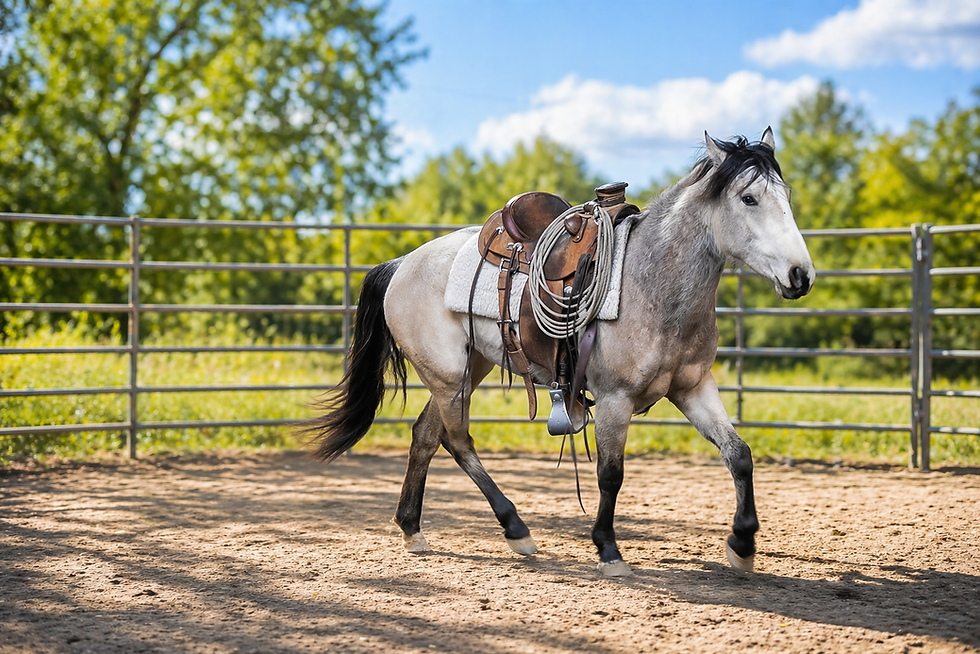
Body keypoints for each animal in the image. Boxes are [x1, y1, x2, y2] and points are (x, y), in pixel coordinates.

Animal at [304, 128, 815, 577]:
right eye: (749, 198)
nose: (800, 274)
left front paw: (742, 544)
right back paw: (515, 528)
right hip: (449, 377)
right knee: (458, 440)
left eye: (787, 195)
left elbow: (739, 454)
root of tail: (401, 264)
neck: (652, 284)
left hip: (469, 368)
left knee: (426, 436)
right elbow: (611, 474)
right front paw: (608, 550)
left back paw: (412, 528)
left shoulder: (693, 389)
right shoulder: (614, 400)